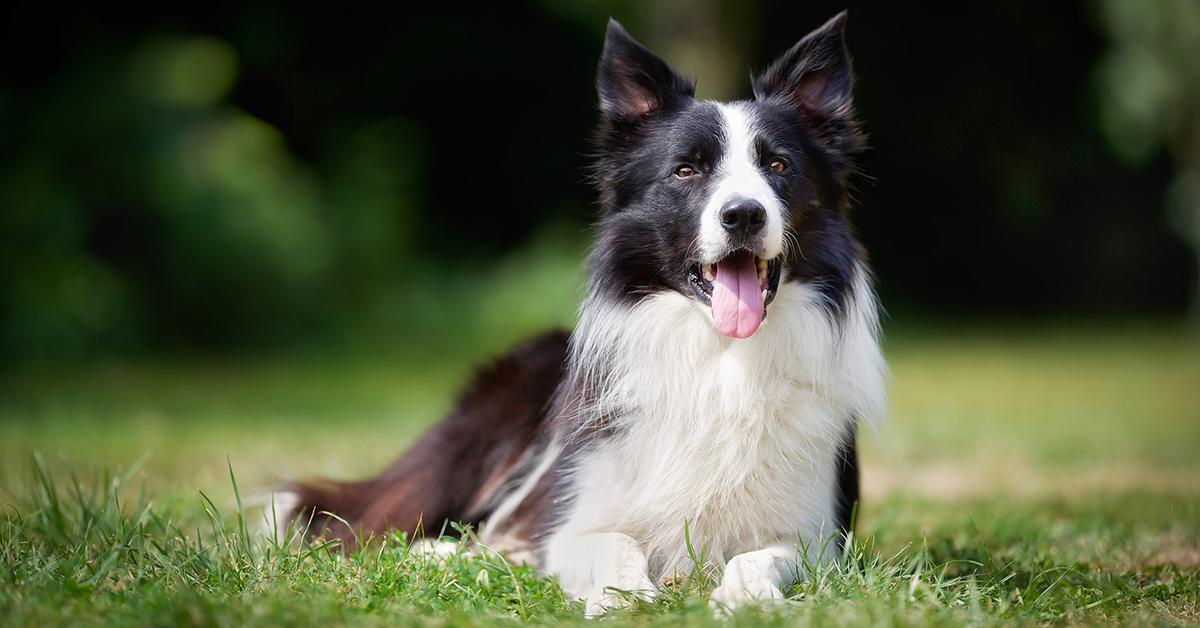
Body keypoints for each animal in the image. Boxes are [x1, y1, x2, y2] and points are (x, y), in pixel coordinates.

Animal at [276, 12, 888, 614]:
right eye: (686, 171)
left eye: (779, 165)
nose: (743, 214)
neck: (720, 357)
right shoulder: (573, 518)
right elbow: (613, 544)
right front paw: (627, 600)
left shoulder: (818, 535)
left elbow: (760, 556)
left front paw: (747, 598)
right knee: (385, 527)